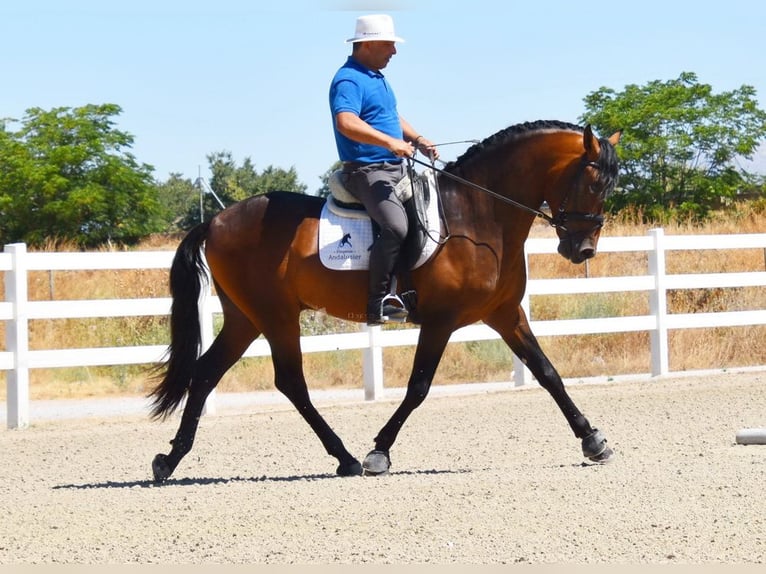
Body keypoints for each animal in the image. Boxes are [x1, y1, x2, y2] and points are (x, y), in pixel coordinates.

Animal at [148, 120, 624, 482]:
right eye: (592, 183)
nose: (582, 250)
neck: (479, 214)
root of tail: (214, 220)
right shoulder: (441, 321)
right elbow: (418, 387)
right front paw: (379, 452)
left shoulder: (505, 314)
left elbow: (548, 373)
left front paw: (593, 440)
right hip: (275, 316)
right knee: (290, 382)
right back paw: (345, 458)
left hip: (245, 318)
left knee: (206, 373)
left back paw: (170, 459)